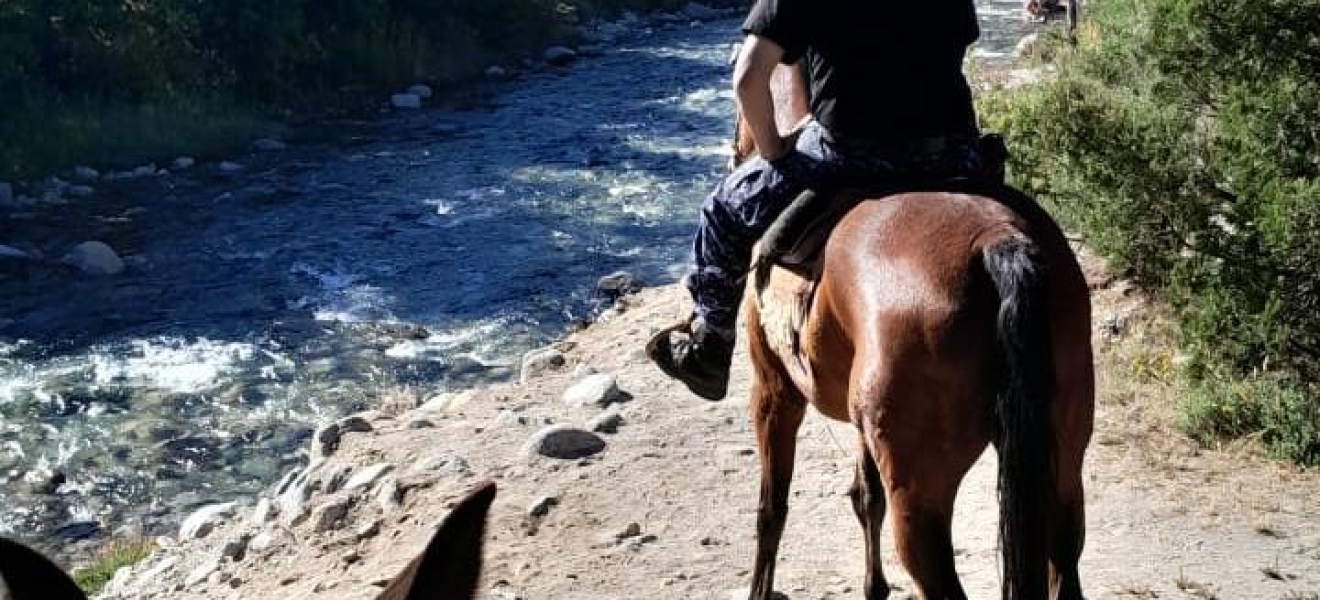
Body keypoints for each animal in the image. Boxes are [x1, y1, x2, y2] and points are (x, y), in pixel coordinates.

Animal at [733, 64, 1092, 600]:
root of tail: (996, 238)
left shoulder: (774, 392)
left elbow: (770, 510)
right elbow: (865, 497)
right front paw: (873, 586)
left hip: (921, 495)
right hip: (1063, 459)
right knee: (1065, 563)